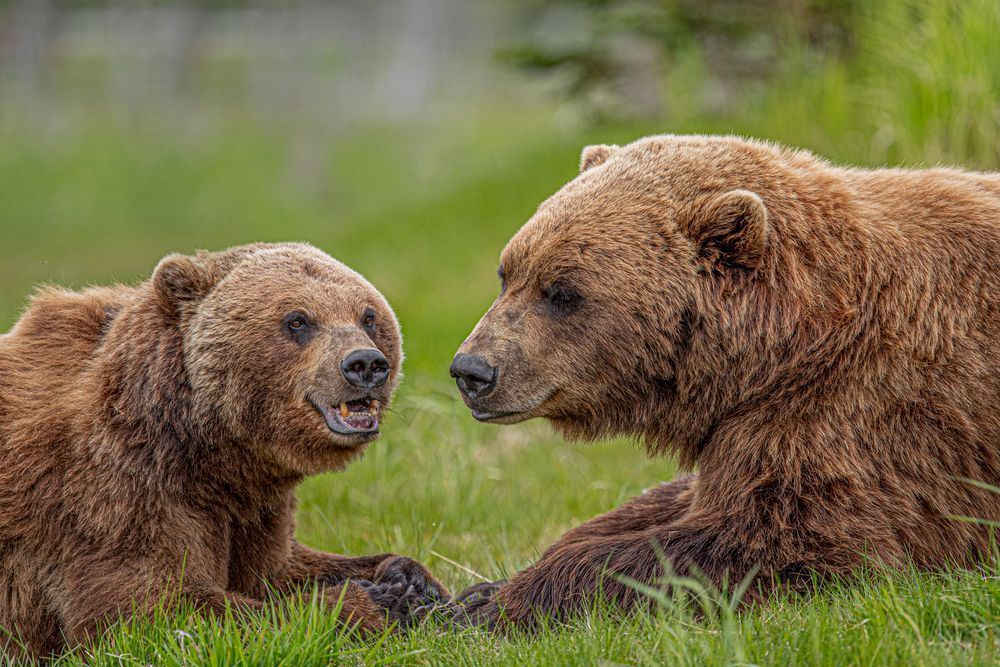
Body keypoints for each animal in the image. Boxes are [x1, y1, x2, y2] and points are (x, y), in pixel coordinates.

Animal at [0, 242, 448, 660]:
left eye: (368, 316)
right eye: (297, 320)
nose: (365, 363)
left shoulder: (254, 505)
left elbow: (278, 568)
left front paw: (412, 578)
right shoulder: (110, 492)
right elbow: (151, 610)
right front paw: (378, 601)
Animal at [448, 135, 1000, 629]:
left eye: (561, 292)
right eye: (507, 273)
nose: (471, 370)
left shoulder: (867, 413)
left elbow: (776, 540)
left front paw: (488, 607)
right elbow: (669, 501)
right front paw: (482, 588)